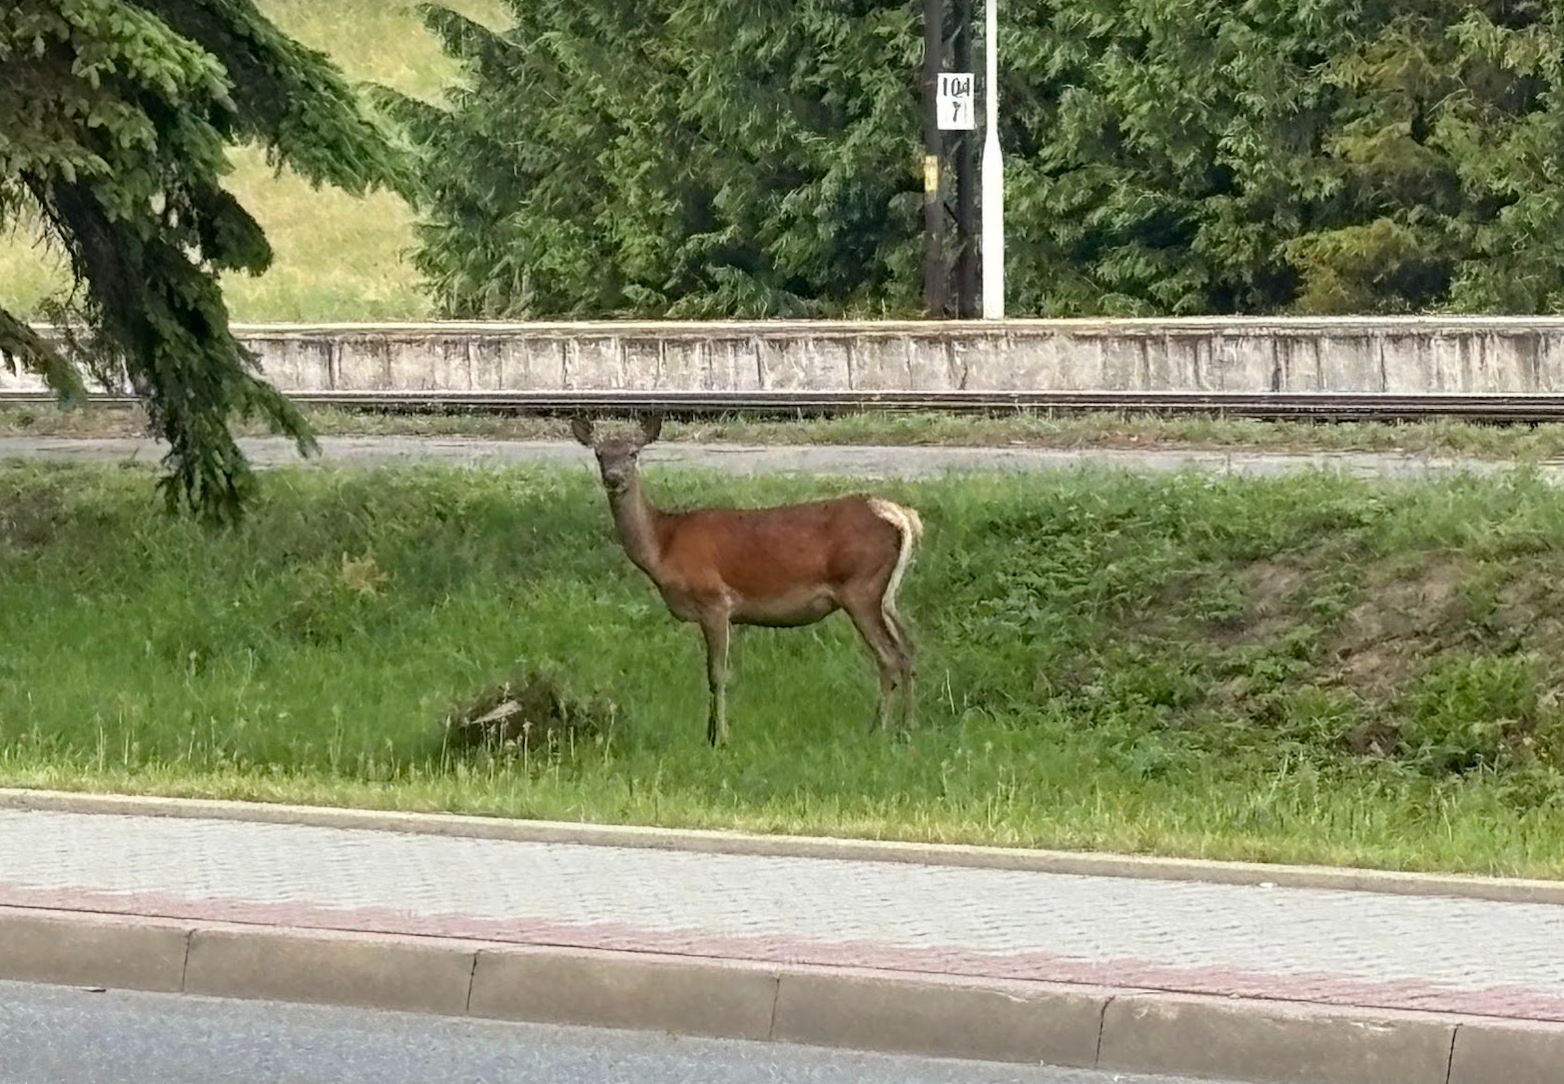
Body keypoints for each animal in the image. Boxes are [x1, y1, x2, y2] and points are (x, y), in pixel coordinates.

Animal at [572, 412, 913, 744]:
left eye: (633, 453)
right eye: (599, 453)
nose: (614, 478)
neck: (664, 545)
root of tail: (903, 517)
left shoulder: (714, 601)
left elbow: (717, 674)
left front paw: (719, 738)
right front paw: (711, 733)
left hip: (861, 587)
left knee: (889, 656)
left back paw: (879, 730)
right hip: (886, 596)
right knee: (909, 647)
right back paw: (905, 728)